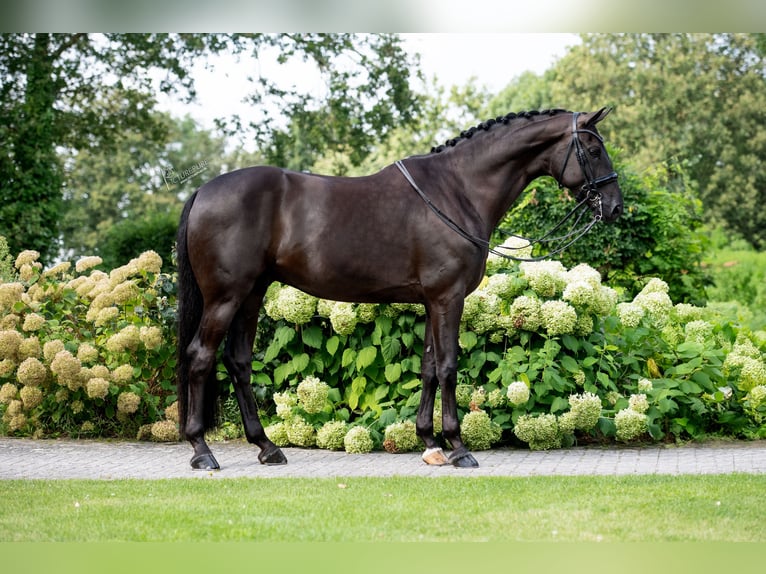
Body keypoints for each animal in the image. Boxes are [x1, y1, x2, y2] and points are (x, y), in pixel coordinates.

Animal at [176, 109, 624, 472]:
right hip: (225, 298)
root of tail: (202, 191)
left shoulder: (432, 301)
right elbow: (448, 367)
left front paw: (430, 443)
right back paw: (202, 451)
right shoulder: (448, 298)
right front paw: (458, 447)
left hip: (250, 295)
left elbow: (428, 368)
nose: (616, 207)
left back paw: (267, 447)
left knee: (238, 362)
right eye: (593, 150)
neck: (458, 190)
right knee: (200, 357)